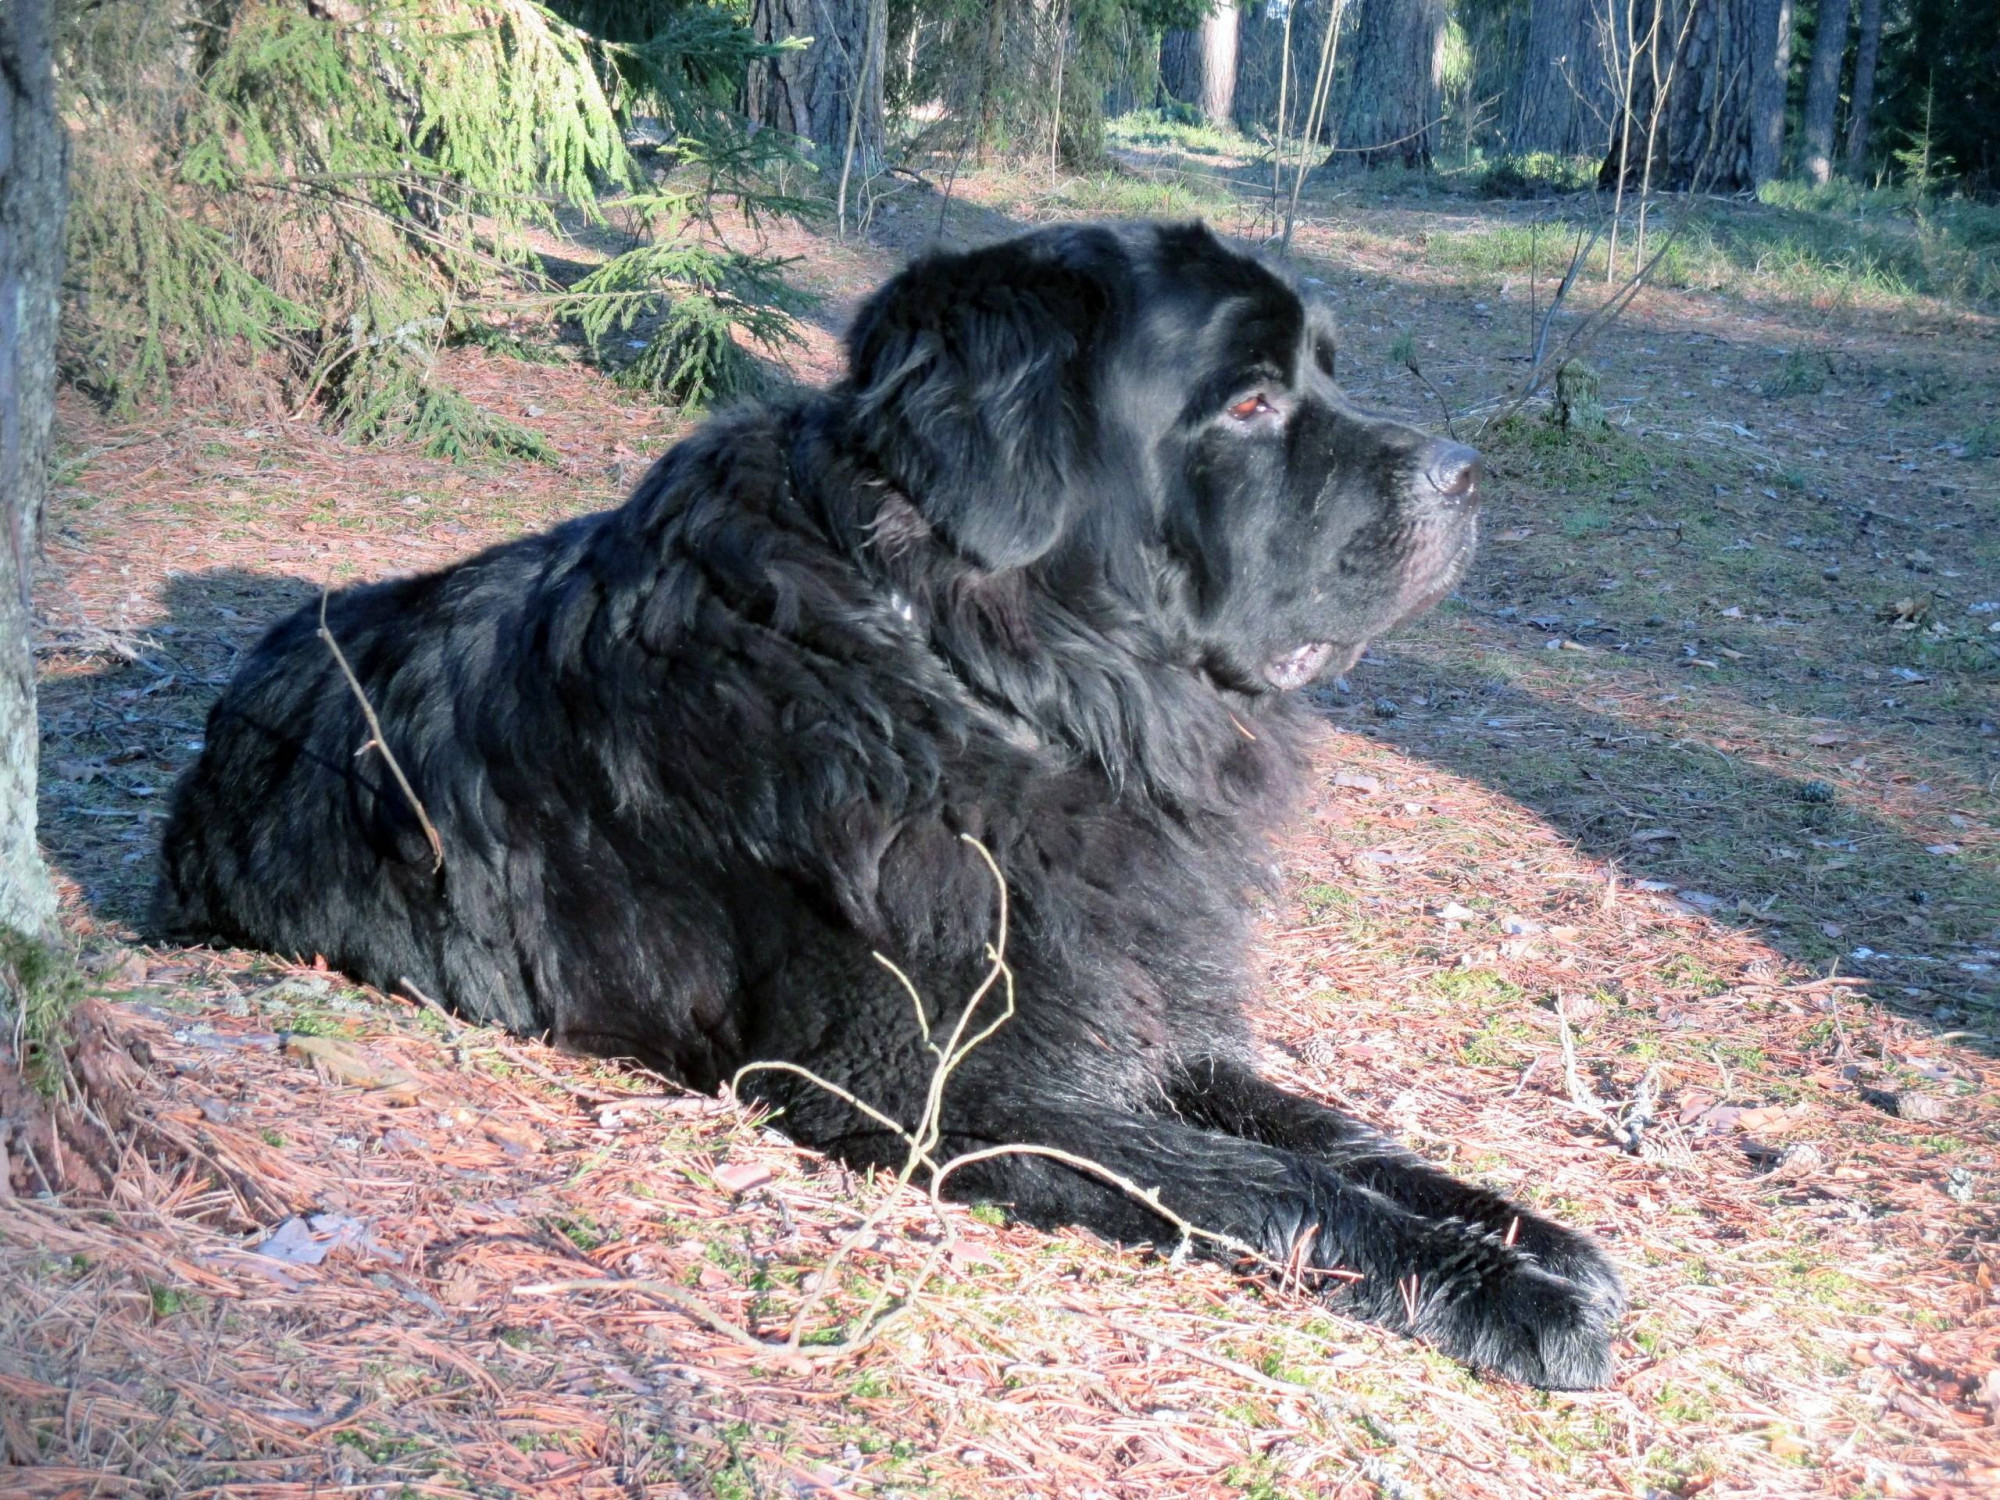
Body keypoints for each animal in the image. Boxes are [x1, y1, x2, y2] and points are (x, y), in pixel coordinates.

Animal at [156, 220, 1624, 1384]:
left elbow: (1334, 1129)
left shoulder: (1128, 990)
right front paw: (1511, 1293)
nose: (1464, 473)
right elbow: (1263, 1183)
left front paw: (1532, 1234)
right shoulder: (945, 1095)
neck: (994, 682)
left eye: (1326, 370)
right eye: (1253, 403)